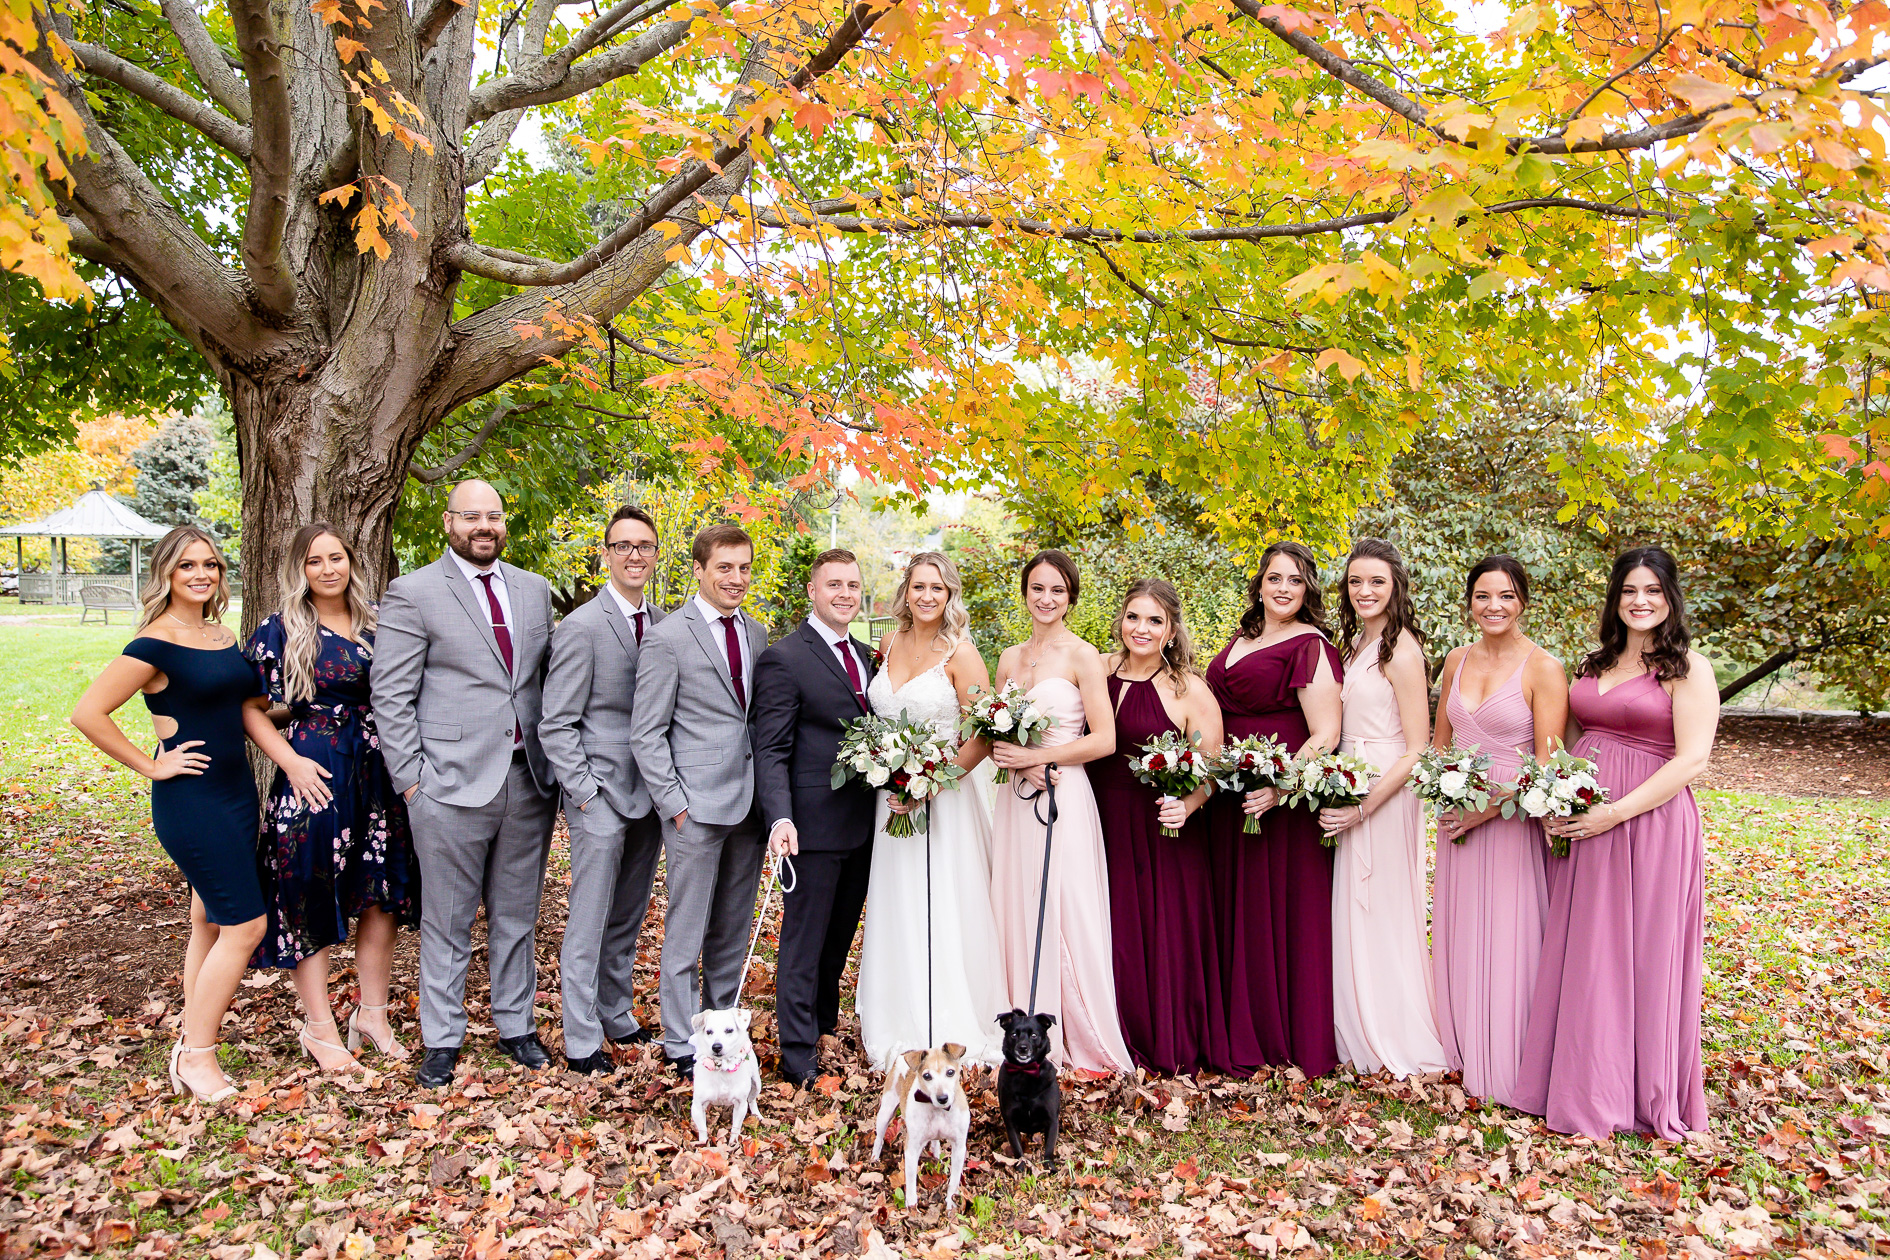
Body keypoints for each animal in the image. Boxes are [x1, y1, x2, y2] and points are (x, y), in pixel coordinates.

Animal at [687, 1012, 759, 1148]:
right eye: (709, 1031)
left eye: (729, 1030)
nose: (716, 1046)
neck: (722, 1068)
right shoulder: (697, 1106)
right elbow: (702, 1129)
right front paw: (703, 1143)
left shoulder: (741, 1105)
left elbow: (736, 1127)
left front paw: (733, 1143)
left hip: (757, 1083)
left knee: (752, 1099)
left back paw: (757, 1115)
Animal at [865, 1042, 967, 1208]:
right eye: (927, 1076)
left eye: (950, 1072)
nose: (942, 1098)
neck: (938, 1110)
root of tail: (906, 1052)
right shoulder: (912, 1149)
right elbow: (911, 1181)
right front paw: (911, 1206)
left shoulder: (959, 1147)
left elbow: (954, 1180)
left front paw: (951, 1202)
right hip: (886, 1111)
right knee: (879, 1137)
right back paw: (874, 1158)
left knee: (935, 1143)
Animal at [990, 1012, 1065, 1171]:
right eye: (1013, 1035)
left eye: (1034, 1035)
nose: (1023, 1047)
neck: (1025, 1071)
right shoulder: (1010, 1121)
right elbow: (1018, 1150)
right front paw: (1021, 1167)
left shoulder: (1052, 1119)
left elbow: (1049, 1148)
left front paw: (1049, 1167)